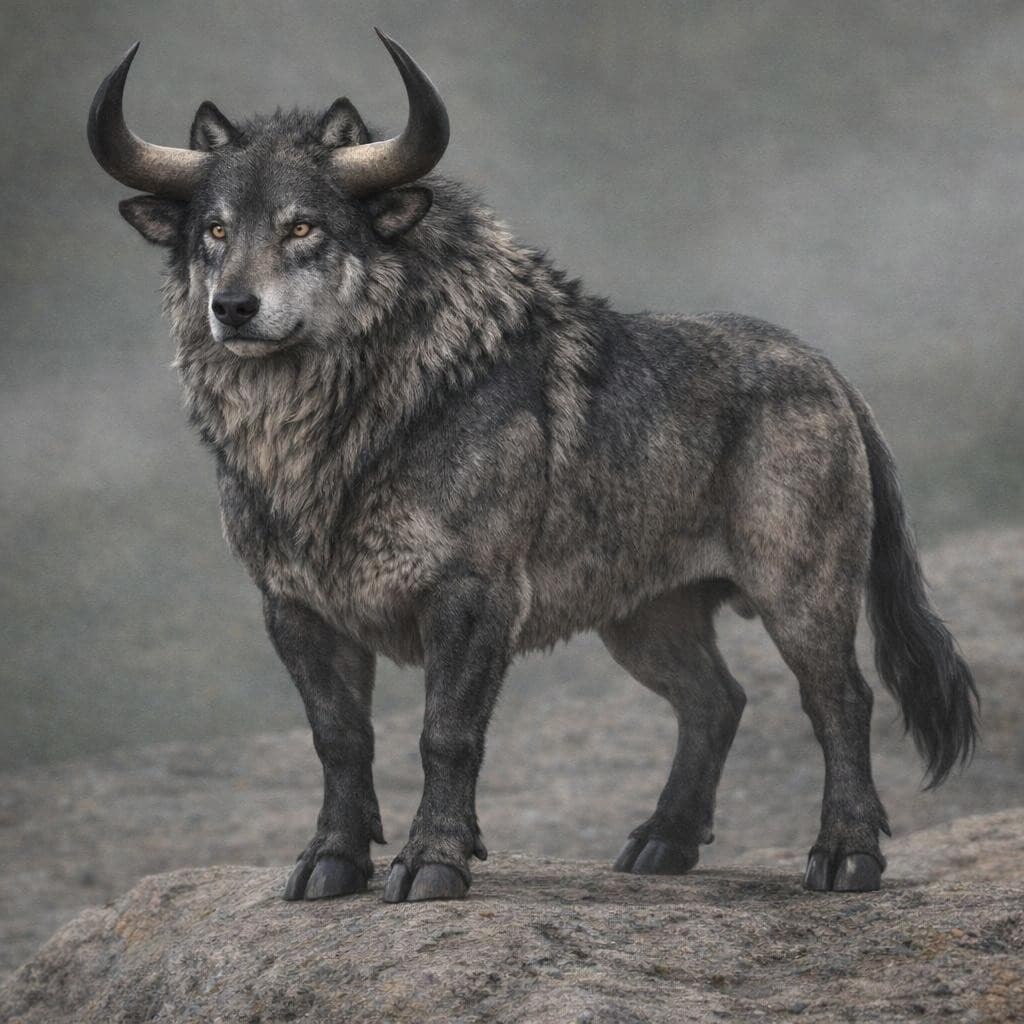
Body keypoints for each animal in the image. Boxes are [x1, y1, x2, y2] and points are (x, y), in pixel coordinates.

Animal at [87, 30, 977, 903]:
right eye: (214, 230)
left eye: (303, 227)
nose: (233, 308)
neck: (338, 439)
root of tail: (828, 369)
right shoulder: (294, 609)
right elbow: (338, 738)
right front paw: (330, 863)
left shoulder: (472, 597)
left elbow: (445, 735)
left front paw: (433, 863)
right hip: (643, 622)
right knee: (717, 701)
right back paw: (662, 844)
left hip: (799, 596)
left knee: (841, 701)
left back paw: (846, 856)